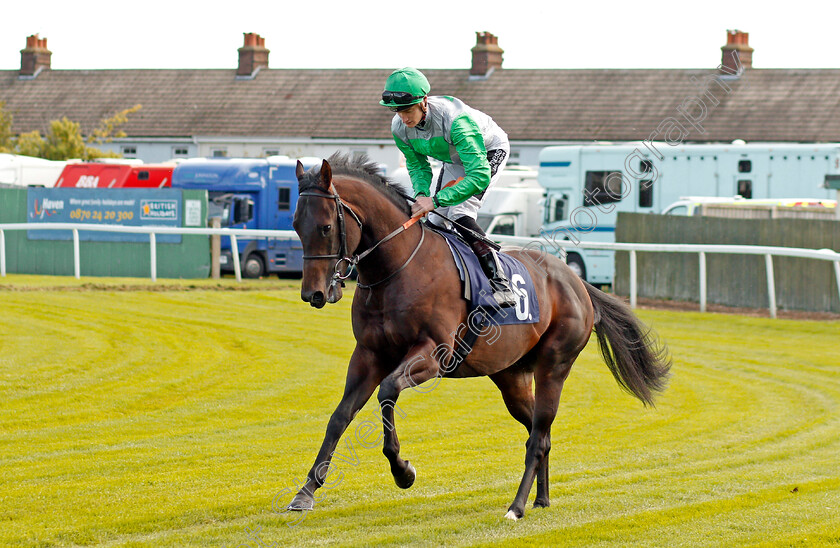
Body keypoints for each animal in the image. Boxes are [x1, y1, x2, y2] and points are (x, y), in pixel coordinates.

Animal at [288, 153, 668, 520]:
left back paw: (516, 507)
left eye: (325, 227)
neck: (399, 267)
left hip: (554, 367)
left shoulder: (433, 354)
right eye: (295, 226)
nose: (314, 293)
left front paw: (403, 471)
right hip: (512, 377)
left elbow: (388, 391)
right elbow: (340, 416)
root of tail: (578, 283)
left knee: (538, 437)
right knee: (539, 432)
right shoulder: (368, 354)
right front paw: (306, 492)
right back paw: (541, 499)